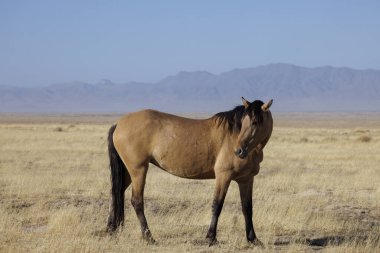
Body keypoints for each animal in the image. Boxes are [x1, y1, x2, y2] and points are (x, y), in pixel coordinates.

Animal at [107, 96, 274, 245]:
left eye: (255, 122)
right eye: (243, 122)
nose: (239, 150)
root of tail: (119, 123)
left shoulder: (246, 179)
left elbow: (247, 208)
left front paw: (253, 239)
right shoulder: (223, 176)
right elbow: (217, 205)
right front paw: (211, 238)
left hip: (128, 172)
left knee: (116, 193)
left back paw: (111, 229)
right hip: (138, 170)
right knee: (137, 201)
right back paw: (149, 238)